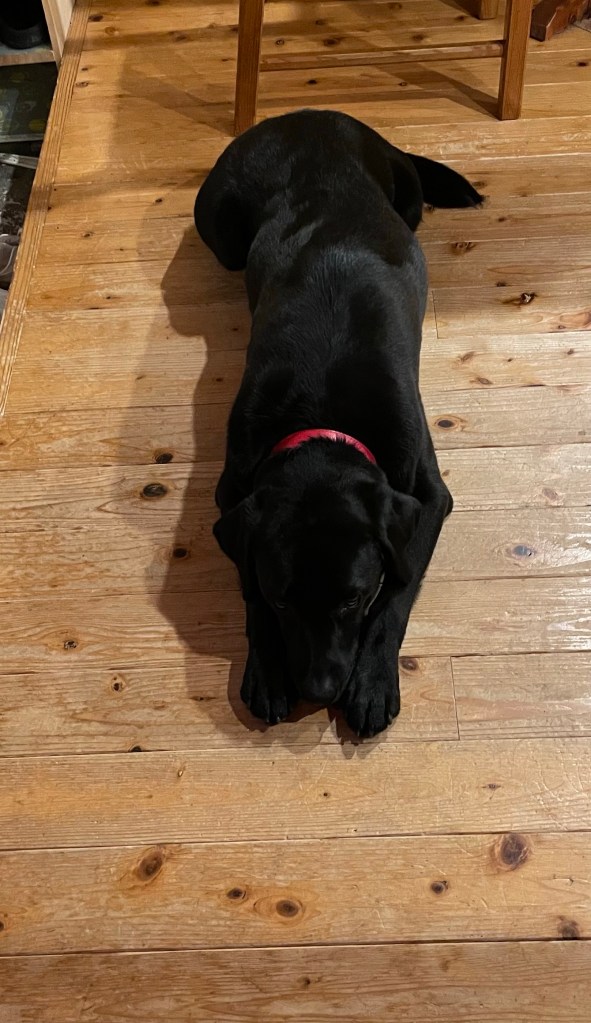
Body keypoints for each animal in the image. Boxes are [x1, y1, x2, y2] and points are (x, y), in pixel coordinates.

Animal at [194, 109, 482, 736]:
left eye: (352, 599)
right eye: (284, 601)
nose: (318, 689)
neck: (322, 418)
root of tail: (305, 115)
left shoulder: (427, 496)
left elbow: (398, 588)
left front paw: (373, 681)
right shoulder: (233, 494)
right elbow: (249, 588)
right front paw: (267, 670)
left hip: (408, 197)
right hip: (218, 225)